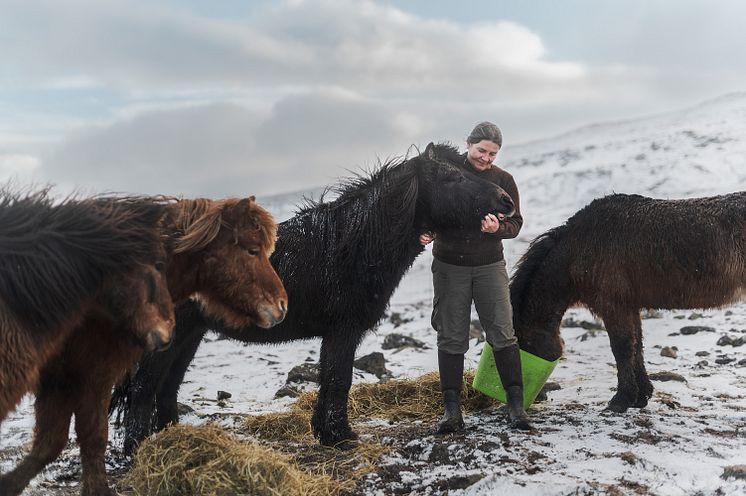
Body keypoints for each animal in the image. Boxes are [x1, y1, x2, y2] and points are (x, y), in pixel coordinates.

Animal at [113, 142, 516, 450]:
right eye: (453, 177)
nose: (507, 201)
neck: (350, 246)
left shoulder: (335, 334)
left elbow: (329, 381)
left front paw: (326, 433)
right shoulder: (342, 331)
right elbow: (339, 381)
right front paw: (341, 437)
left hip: (190, 336)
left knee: (166, 388)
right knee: (145, 389)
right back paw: (136, 451)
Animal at [508, 192, 744, 412]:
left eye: (524, 343)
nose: (537, 396)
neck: (579, 247)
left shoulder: (613, 305)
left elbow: (621, 348)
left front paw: (620, 400)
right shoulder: (629, 305)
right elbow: (636, 347)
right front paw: (641, 396)